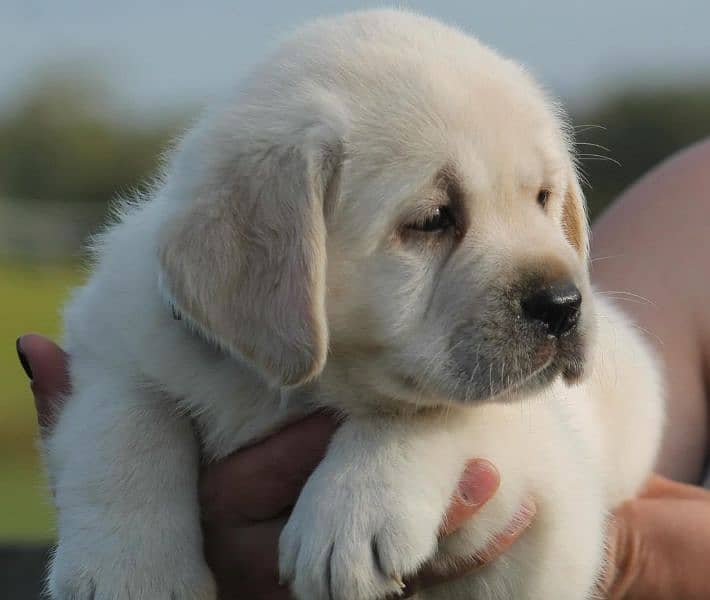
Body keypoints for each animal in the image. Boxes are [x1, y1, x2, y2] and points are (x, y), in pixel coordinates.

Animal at [47, 9, 664, 600]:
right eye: (432, 219)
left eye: (542, 198)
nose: (564, 304)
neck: (296, 388)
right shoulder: (109, 336)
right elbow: (125, 419)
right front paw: (129, 571)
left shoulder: (552, 523)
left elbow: (433, 409)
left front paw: (352, 513)